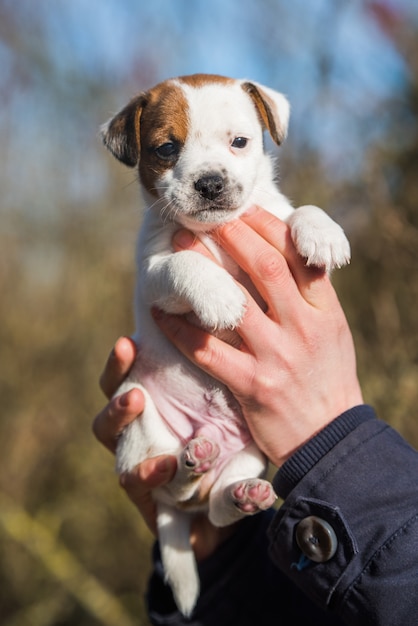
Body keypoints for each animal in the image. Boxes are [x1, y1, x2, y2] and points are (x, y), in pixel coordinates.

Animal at [100, 74, 350, 616]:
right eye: (166, 149)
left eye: (240, 142)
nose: (211, 183)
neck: (213, 234)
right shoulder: (153, 274)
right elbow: (184, 264)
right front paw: (219, 295)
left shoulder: (272, 214)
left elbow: (295, 211)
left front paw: (322, 233)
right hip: (140, 419)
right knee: (173, 487)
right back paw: (192, 460)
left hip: (251, 452)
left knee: (212, 510)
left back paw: (240, 496)